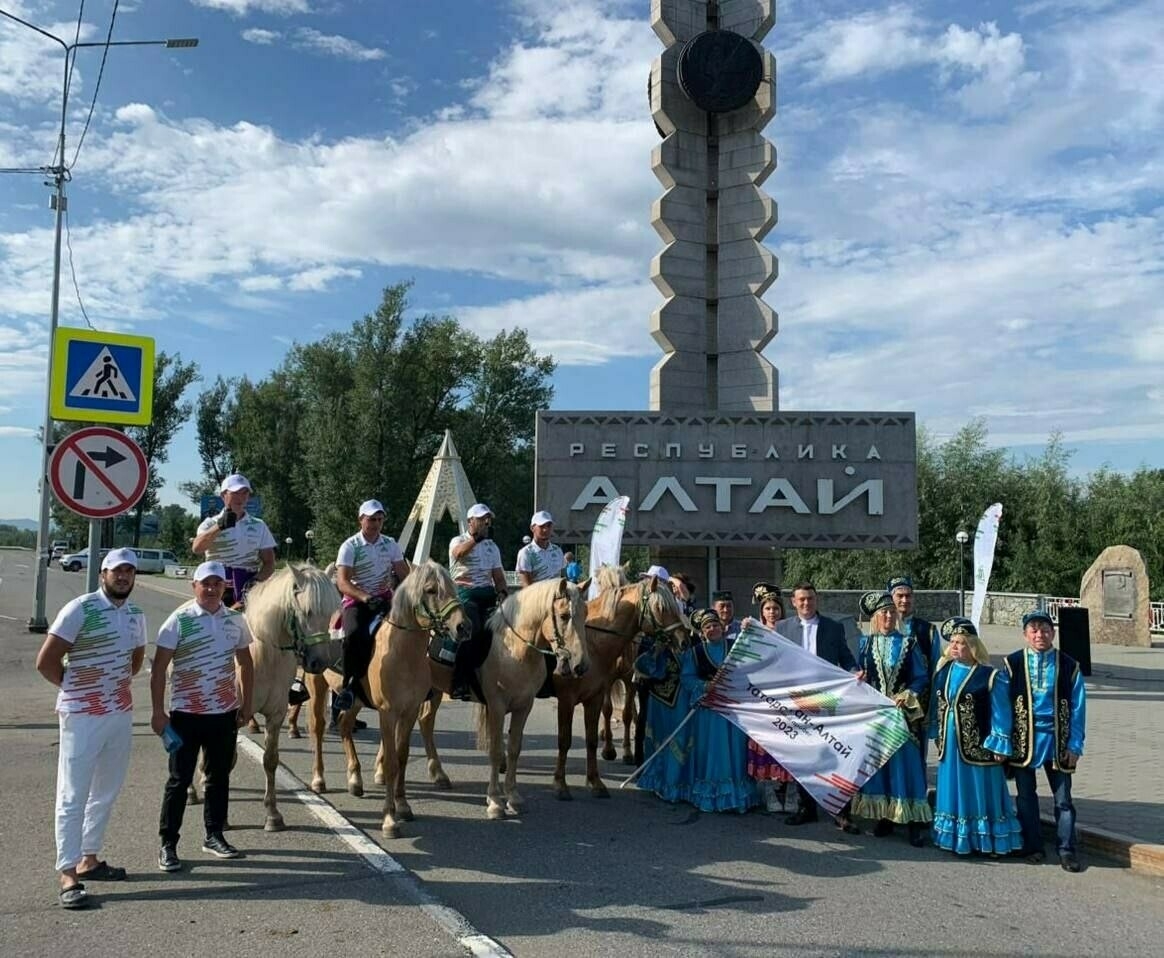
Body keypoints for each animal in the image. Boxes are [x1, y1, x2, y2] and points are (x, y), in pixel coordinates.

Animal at [302, 561, 470, 838]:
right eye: (431, 590)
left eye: (454, 587)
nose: (463, 627)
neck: (402, 653)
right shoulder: (387, 712)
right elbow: (391, 762)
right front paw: (389, 819)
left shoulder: (409, 711)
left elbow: (401, 757)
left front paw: (403, 806)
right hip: (317, 687)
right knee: (317, 728)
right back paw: (319, 779)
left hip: (356, 700)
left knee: (345, 724)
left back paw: (355, 779)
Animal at [474, 572, 591, 819]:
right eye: (564, 615)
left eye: (585, 614)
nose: (581, 666)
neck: (513, 650)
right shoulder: (496, 705)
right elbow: (496, 750)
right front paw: (495, 802)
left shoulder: (523, 706)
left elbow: (514, 749)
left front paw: (513, 798)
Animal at [549, 570, 684, 800]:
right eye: (661, 608)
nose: (685, 640)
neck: (591, 641)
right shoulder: (567, 699)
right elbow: (565, 739)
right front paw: (560, 784)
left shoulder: (601, 693)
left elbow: (595, 737)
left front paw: (597, 781)